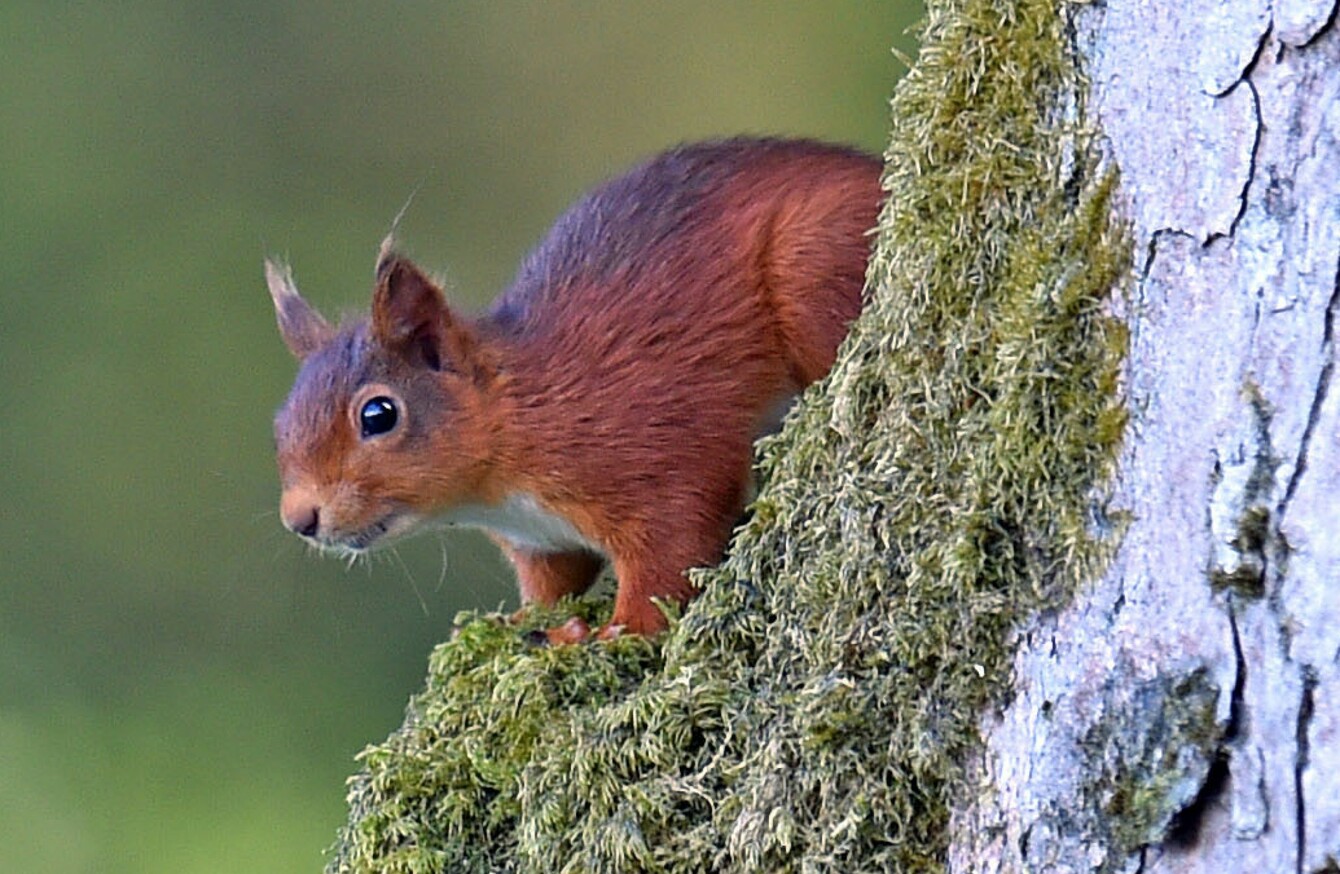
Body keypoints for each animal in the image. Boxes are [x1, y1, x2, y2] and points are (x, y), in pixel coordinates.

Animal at [266, 136, 884, 640]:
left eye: (378, 415)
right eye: (278, 426)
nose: (300, 520)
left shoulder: (648, 447)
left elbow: (673, 545)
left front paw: (618, 631)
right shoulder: (541, 540)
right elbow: (555, 580)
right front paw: (520, 621)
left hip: (811, 262)